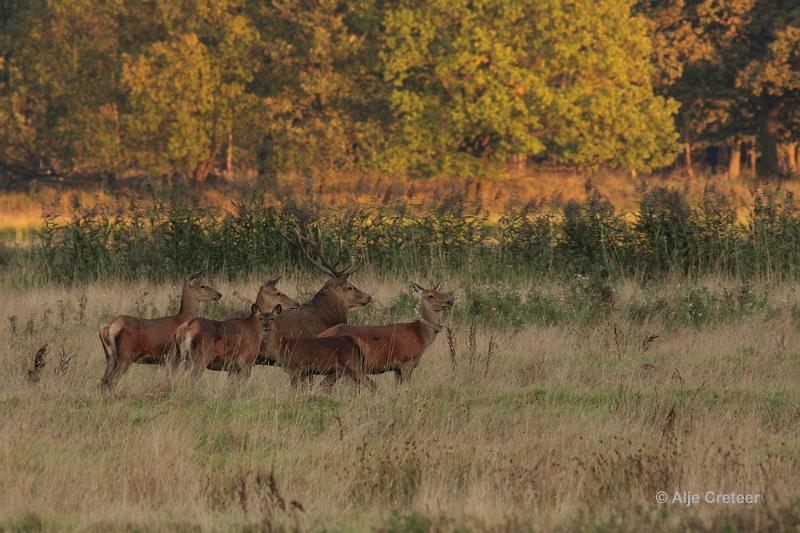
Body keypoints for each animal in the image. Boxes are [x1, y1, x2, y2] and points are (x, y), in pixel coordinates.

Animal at [320, 280, 456, 384]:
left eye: (441, 292)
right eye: (430, 296)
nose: (449, 301)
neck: (420, 336)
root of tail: (322, 334)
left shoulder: (396, 368)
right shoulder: (406, 361)